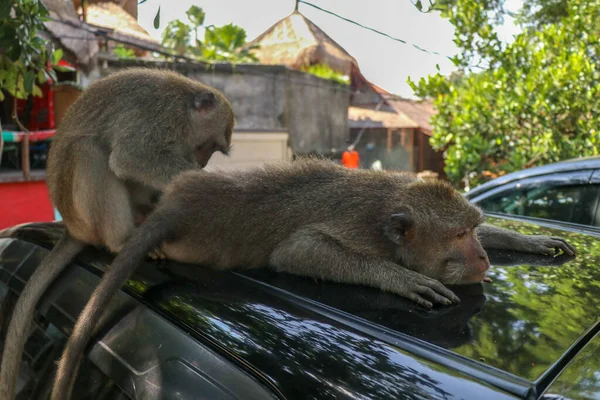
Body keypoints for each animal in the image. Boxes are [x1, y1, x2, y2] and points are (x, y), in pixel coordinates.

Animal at [0, 67, 234, 398]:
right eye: (209, 145)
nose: (202, 162)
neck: (184, 109)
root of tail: (71, 227)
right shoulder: (157, 119)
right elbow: (130, 157)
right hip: (82, 212)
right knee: (89, 151)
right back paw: (122, 240)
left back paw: (145, 214)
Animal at [49, 158, 576, 398]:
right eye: (460, 235)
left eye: (473, 227)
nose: (482, 255)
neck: (389, 213)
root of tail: (178, 202)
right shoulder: (358, 228)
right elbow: (297, 251)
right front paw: (400, 278)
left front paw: (529, 240)